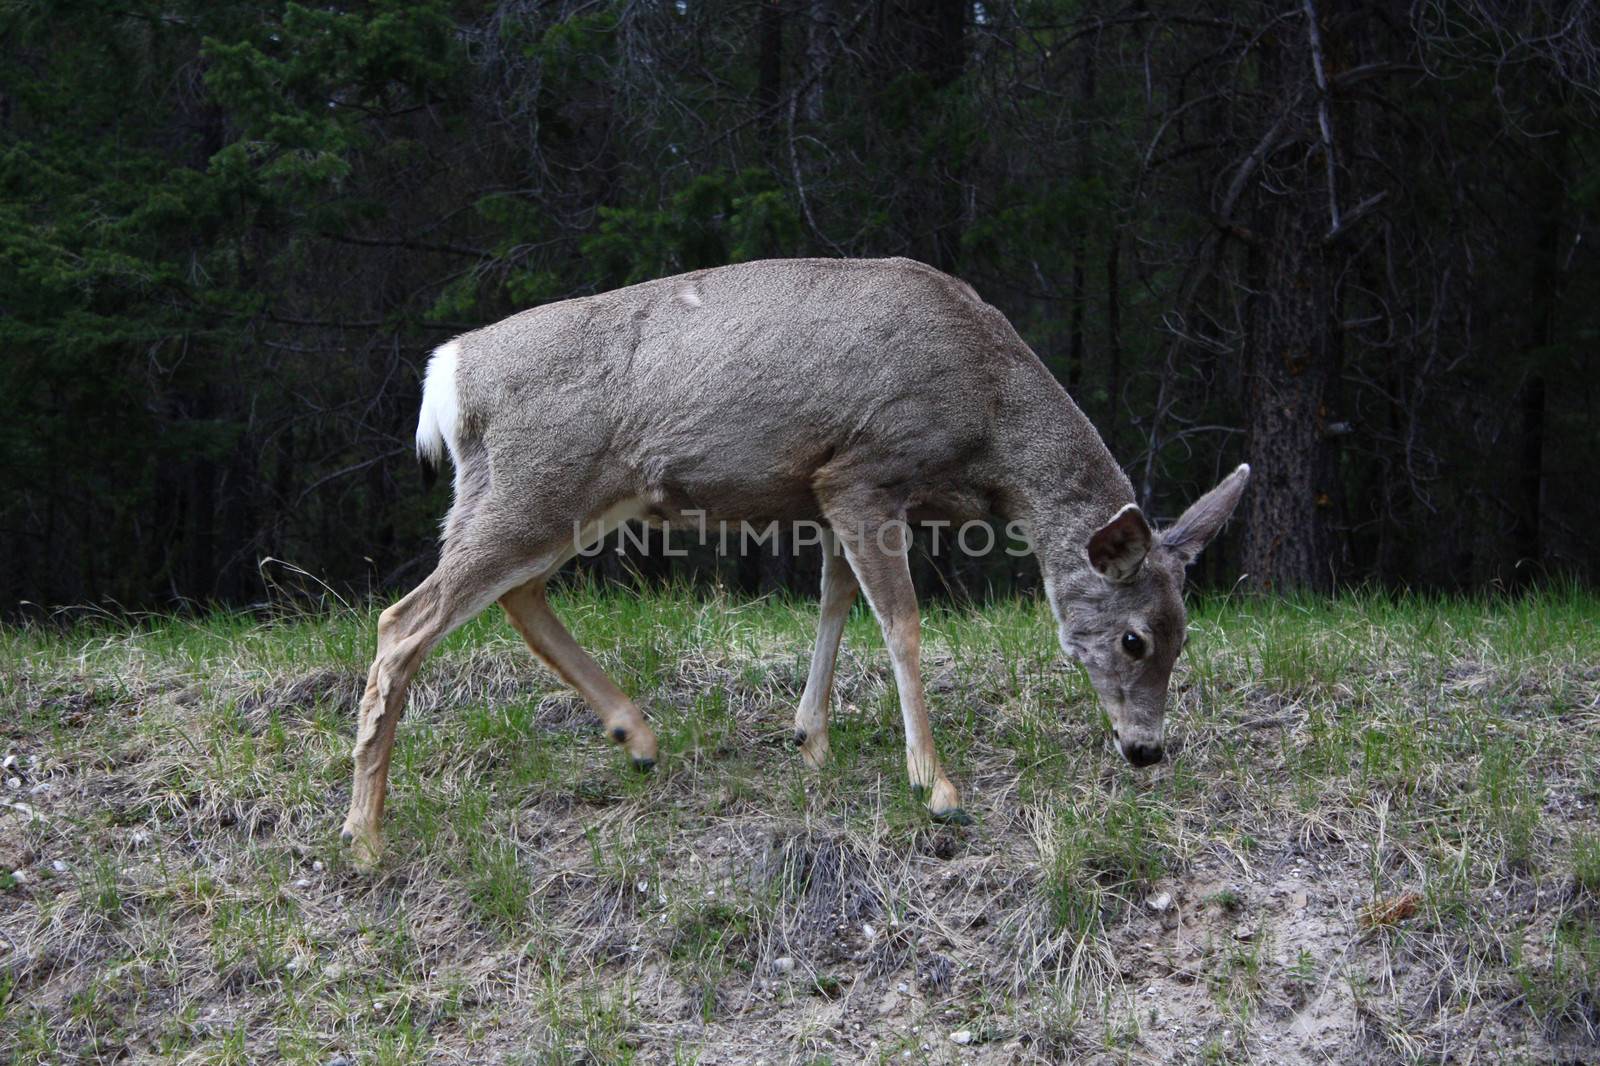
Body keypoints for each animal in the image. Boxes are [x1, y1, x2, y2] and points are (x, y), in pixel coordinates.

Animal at [340, 257, 1248, 864]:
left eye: (1186, 635)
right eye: (1134, 637)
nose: (1147, 750)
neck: (987, 418)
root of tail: (449, 374)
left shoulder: (830, 493)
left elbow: (834, 604)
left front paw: (810, 740)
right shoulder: (865, 468)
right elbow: (901, 622)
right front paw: (937, 787)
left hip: (533, 491)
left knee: (511, 597)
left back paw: (636, 734)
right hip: (540, 480)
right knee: (404, 619)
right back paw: (364, 832)